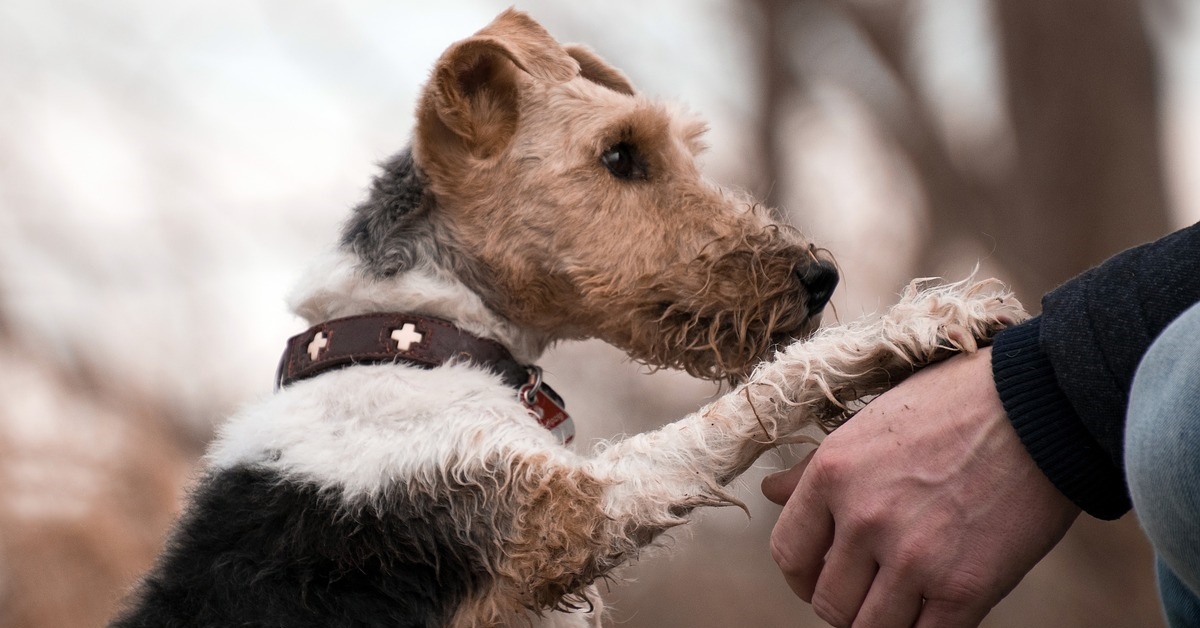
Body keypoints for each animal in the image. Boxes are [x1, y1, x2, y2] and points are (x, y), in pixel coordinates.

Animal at [110, 11, 1022, 628]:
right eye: (619, 154)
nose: (819, 276)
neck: (416, 337)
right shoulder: (571, 511)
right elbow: (744, 404)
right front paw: (928, 319)